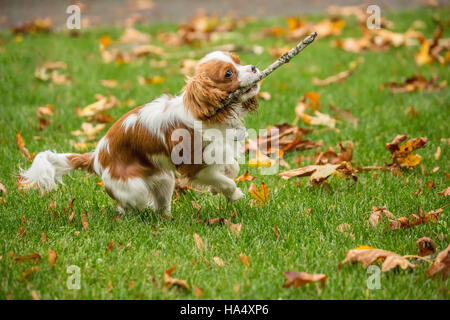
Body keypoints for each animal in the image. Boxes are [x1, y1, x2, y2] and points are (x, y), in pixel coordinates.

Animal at [20, 50, 260, 215]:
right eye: (228, 73)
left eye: (238, 61)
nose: (254, 67)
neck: (211, 115)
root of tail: (96, 156)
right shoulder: (194, 168)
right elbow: (226, 181)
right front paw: (233, 194)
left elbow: (232, 167)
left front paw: (218, 186)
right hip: (133, 188)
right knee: (127, 206)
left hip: (163, 179)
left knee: (161, 206)